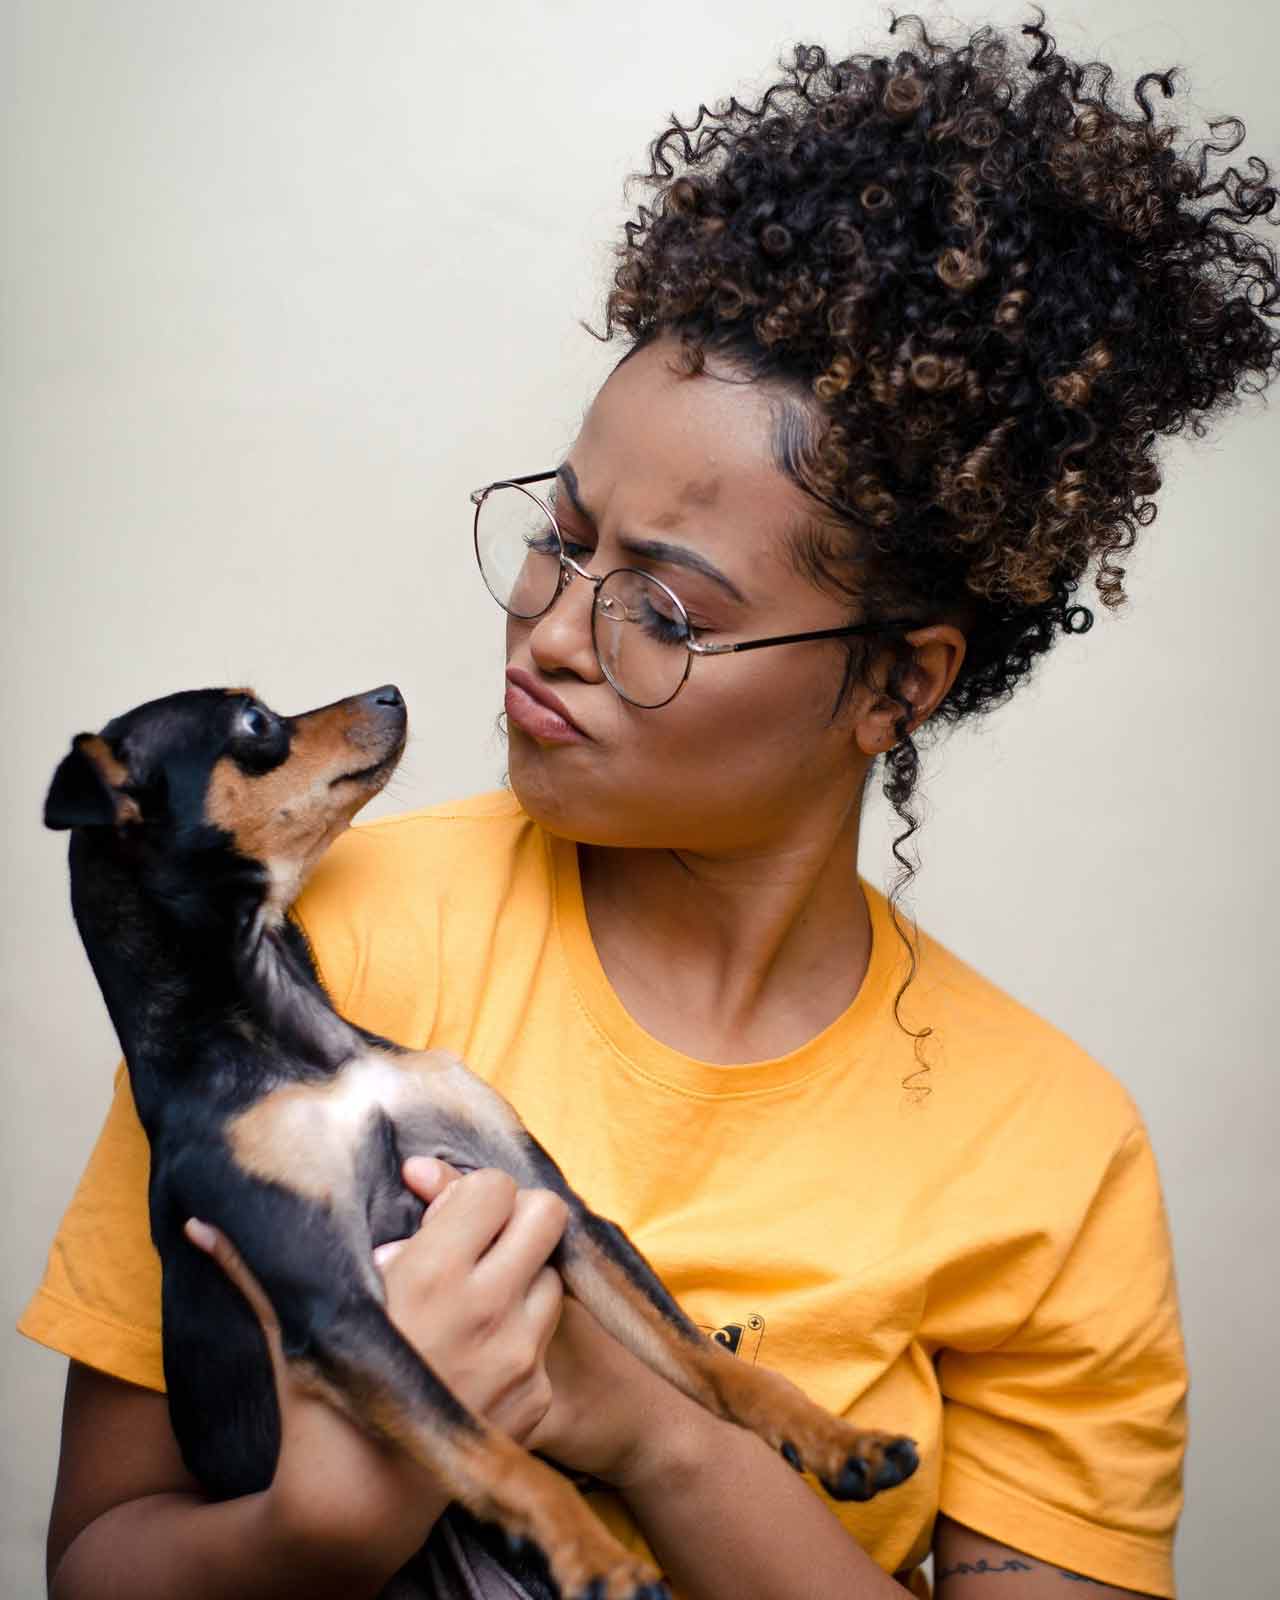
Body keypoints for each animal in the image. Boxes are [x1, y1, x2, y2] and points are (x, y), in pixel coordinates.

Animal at [42, 684, 921, 1600]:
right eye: (254, 726)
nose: (389, 691)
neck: (303, 1044)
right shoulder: (336, 1303)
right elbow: (490, 1447)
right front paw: (597, 1556)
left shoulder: (557, 1207)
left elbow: (707, 1359)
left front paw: (831, 1437)